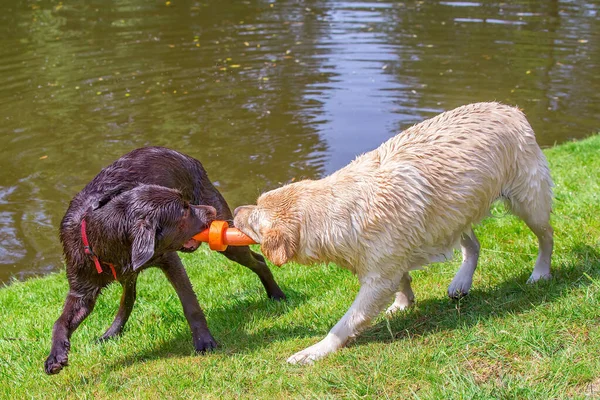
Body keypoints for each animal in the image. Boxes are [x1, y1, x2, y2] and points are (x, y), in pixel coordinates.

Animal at [44, 147, 284, 376]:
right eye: (184, 211)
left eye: (187, 203)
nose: (212, 211)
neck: (107, 243)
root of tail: (189, 157)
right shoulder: (82, 292)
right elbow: (59, 322)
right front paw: (55, 356)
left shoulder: (170, 260)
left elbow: (190, 305)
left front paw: (204, 342)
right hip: (130, 276)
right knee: (129, 299)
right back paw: (111, 333)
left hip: (228, 244)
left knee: (259, 260)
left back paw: (277, 295)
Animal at [233, 102, 552, 366]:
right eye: (256, 202)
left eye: (255, 219)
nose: (234, 210)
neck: (339, 213)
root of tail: (509, 108)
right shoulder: (385, 259)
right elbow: (401, 278)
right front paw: (403, 303)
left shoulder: (377, 278)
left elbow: (347, 321)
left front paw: (315, 351)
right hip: (453, 210)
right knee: (472, 244)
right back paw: (461, 281)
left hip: (528, 200)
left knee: (546, 237)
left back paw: (540, 273)